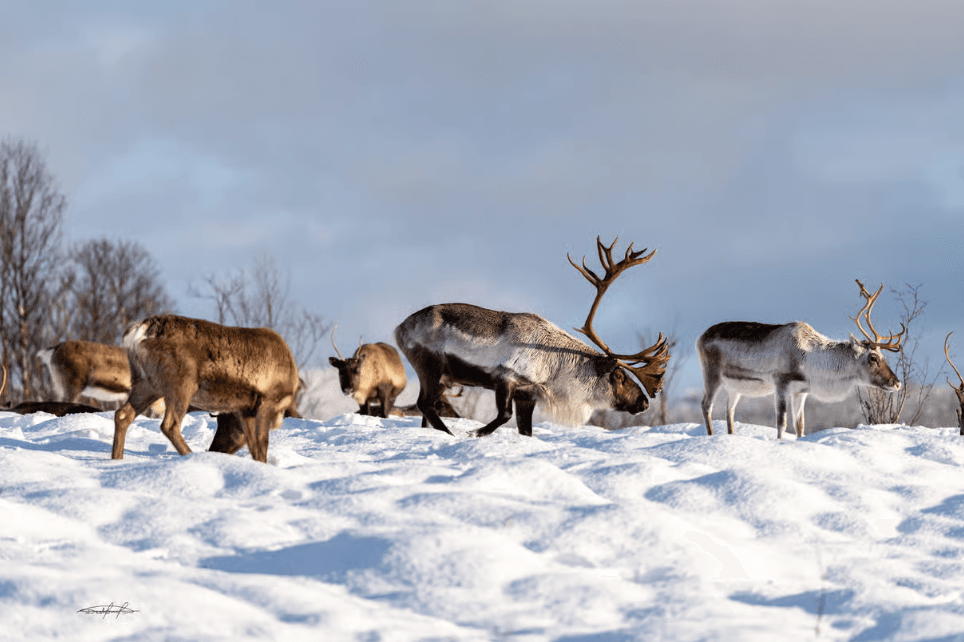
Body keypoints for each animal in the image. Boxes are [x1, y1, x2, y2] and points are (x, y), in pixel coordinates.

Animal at [111, 315, 299, 463]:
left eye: (225, 422)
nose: (215, 449)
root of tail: (136, 333)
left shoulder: (245, 409)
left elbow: (254, 445)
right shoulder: (266, 399)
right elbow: (262, 444)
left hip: (146, 383)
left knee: (122, 415)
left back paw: (116, 459)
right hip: (181, 383)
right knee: (169, 425)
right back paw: (191, 456)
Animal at [394, 237, 670, 437]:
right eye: (619, 376)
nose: (644, 403)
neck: (555, 367)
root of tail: (399, 328)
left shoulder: (527, 394)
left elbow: (525, 429)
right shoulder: (506, 378)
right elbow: (504, 416)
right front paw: (476, 432)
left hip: (444, 377)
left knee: (425, 408)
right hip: (430, 367)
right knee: (424, 404)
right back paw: (449, 434)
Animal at [697, 279, 905, 439]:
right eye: (873, 357)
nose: (897, 383)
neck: (810, 359)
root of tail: (700, 338)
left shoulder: (801, 391)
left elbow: (800, 426)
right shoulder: (781, 385)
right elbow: (781, 422)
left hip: (734, 387)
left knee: (729, 410)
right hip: (712, 375)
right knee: (706, 405)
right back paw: (710, 436)